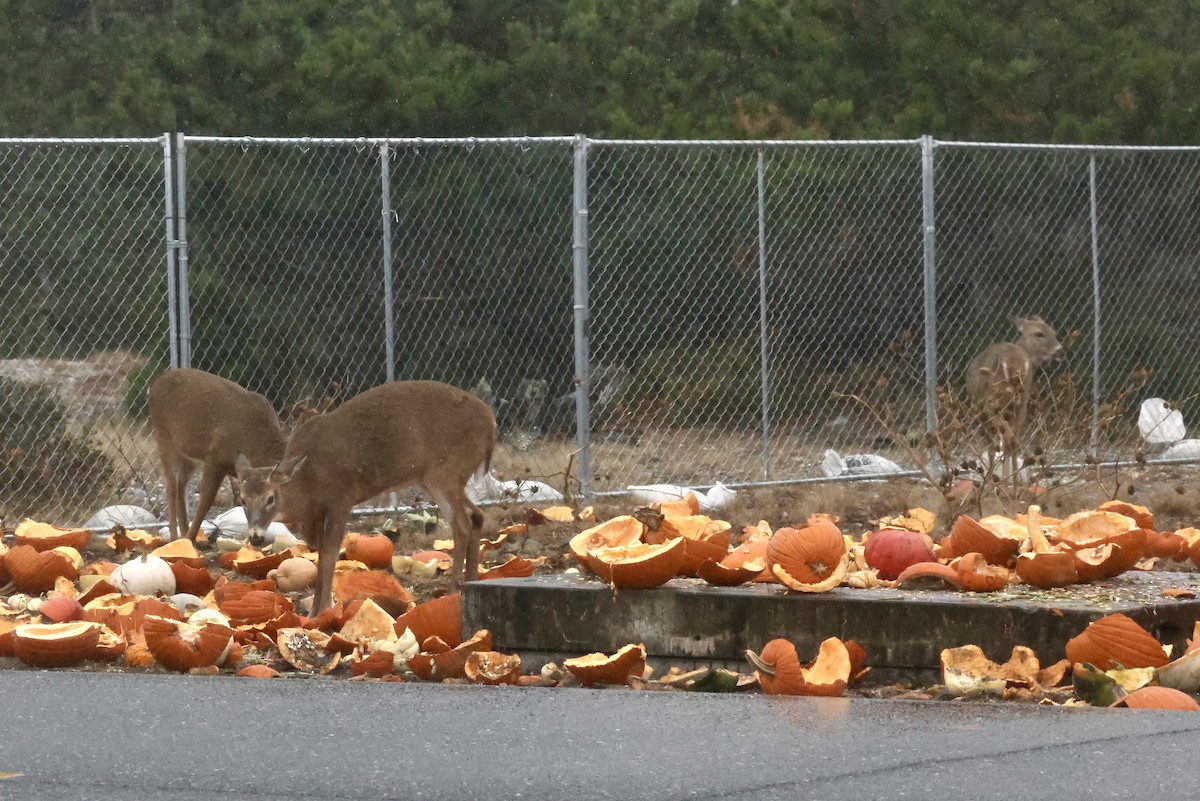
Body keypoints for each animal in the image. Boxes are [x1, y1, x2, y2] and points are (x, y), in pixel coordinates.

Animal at [147, 368, 287, 542]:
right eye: (243, 500)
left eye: (271, 498)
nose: (256, 538)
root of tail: (155, 383)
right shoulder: (214, 457)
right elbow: (206, 498)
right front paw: (190, 539)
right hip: (163, 436)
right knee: (171, 485)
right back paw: (175, 537)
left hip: (188, 454)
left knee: (181, 485)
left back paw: (183, 531)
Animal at [235, 380, 496, 613]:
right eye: (242, 500)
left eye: (270, 498)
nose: (256, 537)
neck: (309, 481)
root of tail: (491, 421)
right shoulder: (319, 511)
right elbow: (320, 556)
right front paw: (313, 611)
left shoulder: (341, 500)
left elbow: (330, 555)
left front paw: (324, 609)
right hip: (436, 479)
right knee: (477, 515)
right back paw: (470, 583)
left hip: (445, 473)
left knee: (462, 524)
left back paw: (453, 591)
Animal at [965, 316, 1063, 481]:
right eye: (1039, 333)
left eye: (1053, 332)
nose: (1059, 349)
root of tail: (1015, 364)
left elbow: (994, 447)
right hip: (1020, 400)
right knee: (1012, 440)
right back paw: (1014, 481)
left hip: (993, 401)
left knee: (1005, 441)